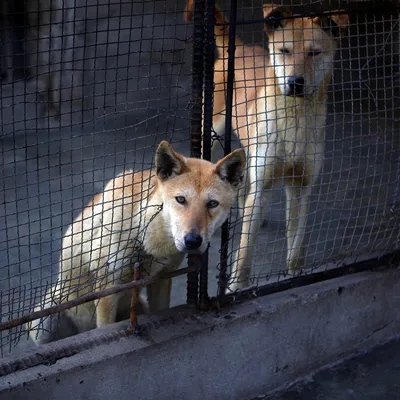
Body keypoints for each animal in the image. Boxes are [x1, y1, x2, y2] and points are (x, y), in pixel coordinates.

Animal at [27, 141, 244, 344]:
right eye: (181, 199)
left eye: (212, 204)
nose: (192, 241)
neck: (145, 236)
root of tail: (83, 331)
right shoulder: (108, 288)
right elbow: (105, 328)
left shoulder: (162, 279)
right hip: (42, 322)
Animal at [186, 2, 348, 290]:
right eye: (284, 51)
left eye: (314, 52)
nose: (295, 82)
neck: (295, 117)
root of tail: (237, 47)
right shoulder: (262, 185)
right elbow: (245, 249)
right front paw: (236, 285)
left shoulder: (301, 187)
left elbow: (297, 241)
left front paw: (296, 274)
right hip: (213, 134)